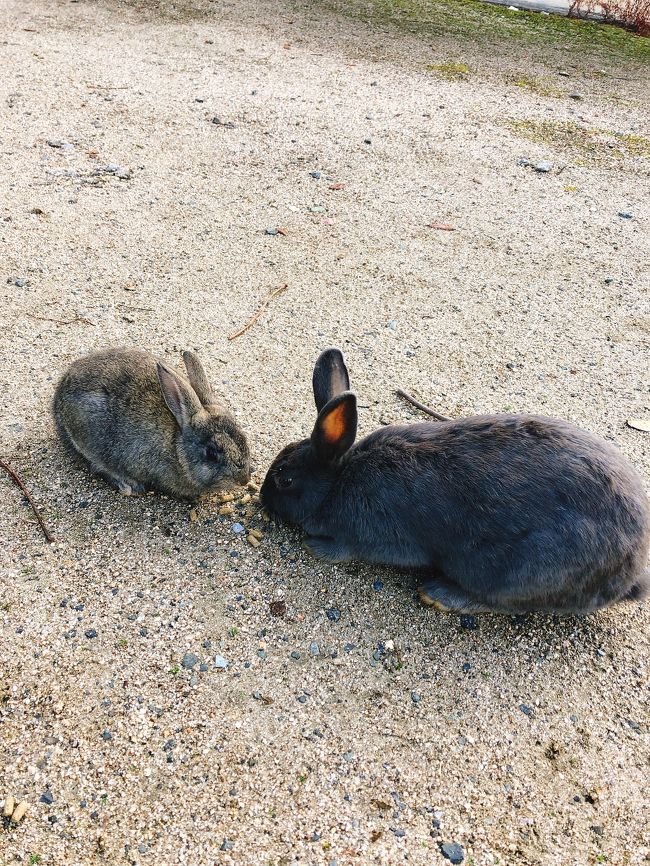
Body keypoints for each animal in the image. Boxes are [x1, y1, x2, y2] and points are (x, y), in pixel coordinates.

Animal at [53, 346, 249, 500]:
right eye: (211, 453)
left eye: (243, 437)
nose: (244, 479)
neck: (177, 444)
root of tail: (58, 399)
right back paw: (128, 485)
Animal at [260, 346, 644, 616]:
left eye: (285, 479)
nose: (262, 498)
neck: (339, 480)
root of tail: (632, 571)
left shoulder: (364, 535)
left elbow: (342, 549)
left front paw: (315, 546)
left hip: (511, 572)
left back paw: (440, 595)